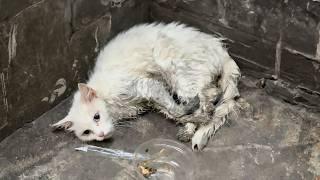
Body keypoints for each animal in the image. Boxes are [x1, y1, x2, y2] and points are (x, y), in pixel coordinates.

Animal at [51, 22, 239, 150]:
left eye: (96, 117)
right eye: (87, 133)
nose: (101, 135)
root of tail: (218, 45)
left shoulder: (145, 85)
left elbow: (175, 110)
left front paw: (198, 118)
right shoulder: (150, 99)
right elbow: (174, 112)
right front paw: (193, 119)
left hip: (175, 70)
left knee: (207, 98)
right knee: (211, 94)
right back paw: (191, 127)